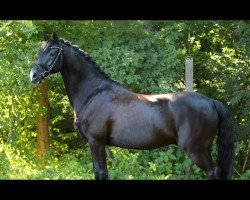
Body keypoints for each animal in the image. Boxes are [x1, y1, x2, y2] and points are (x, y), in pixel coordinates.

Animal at [29, 32, 234, 180]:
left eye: (53, 52)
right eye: (39, 51)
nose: (33, 75)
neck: (93, 93)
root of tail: (211, 102)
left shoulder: (96, 142)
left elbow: (101, 173)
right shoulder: (95, 144)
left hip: (196, 150)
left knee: (213, 172)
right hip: (204, 149)